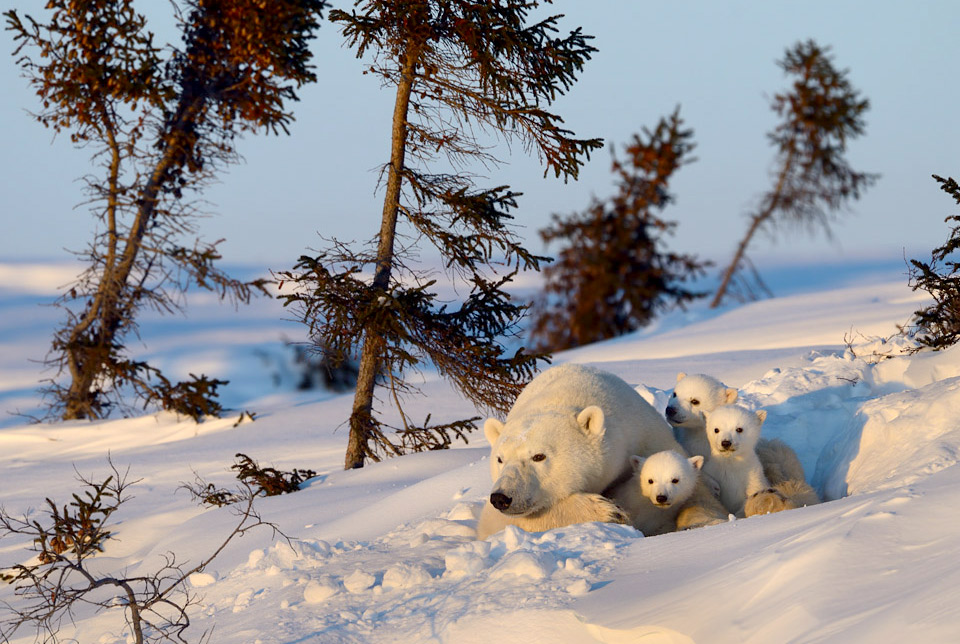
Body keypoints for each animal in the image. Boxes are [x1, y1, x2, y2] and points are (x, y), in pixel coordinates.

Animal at [476, 362, 724, 540]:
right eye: (500, 459)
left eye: (538, 456)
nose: (501, 497)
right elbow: (500, 522)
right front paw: (609, 511)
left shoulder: (645, 433)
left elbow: (691, 483)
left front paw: (704, 521)